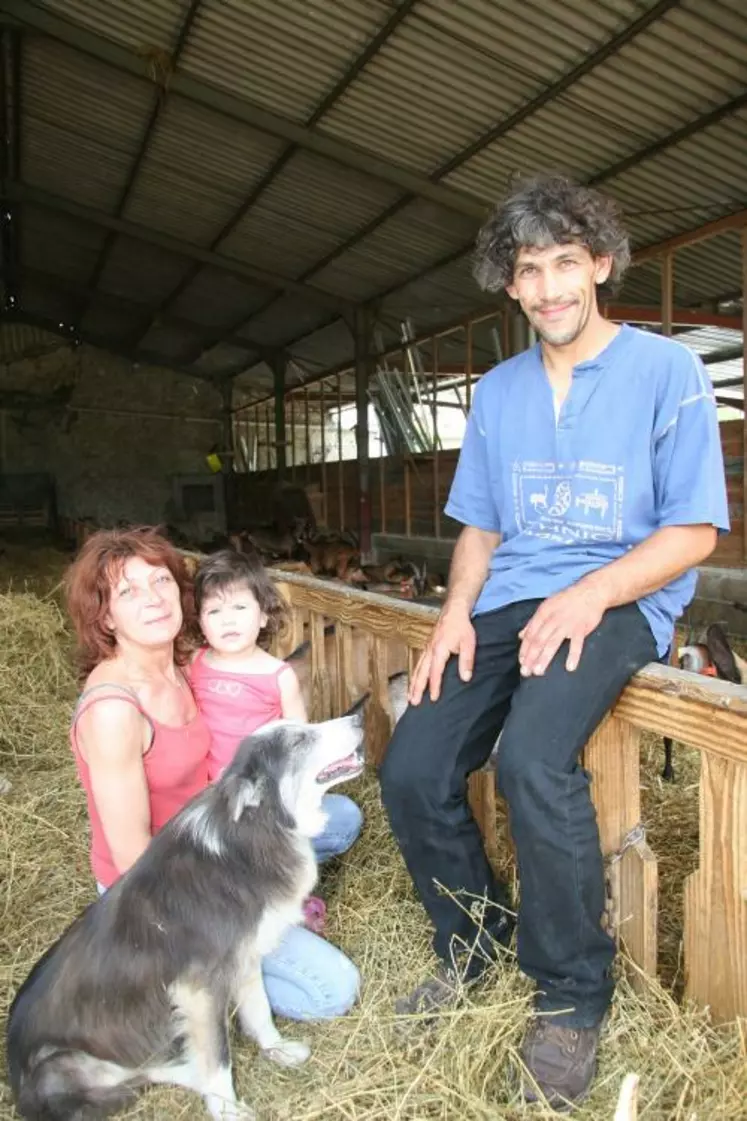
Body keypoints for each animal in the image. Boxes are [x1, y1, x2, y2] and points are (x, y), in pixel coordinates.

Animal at [5, 703, 365, 1116]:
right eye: (299, 741)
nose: (359, 717)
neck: (251, 835)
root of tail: (17, 1087)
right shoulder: (199, 990)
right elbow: (219, 1056)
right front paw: (227, 1110)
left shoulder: (245, 957)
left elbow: (259, 1011)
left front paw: (277, 1050)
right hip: (65, 1066)